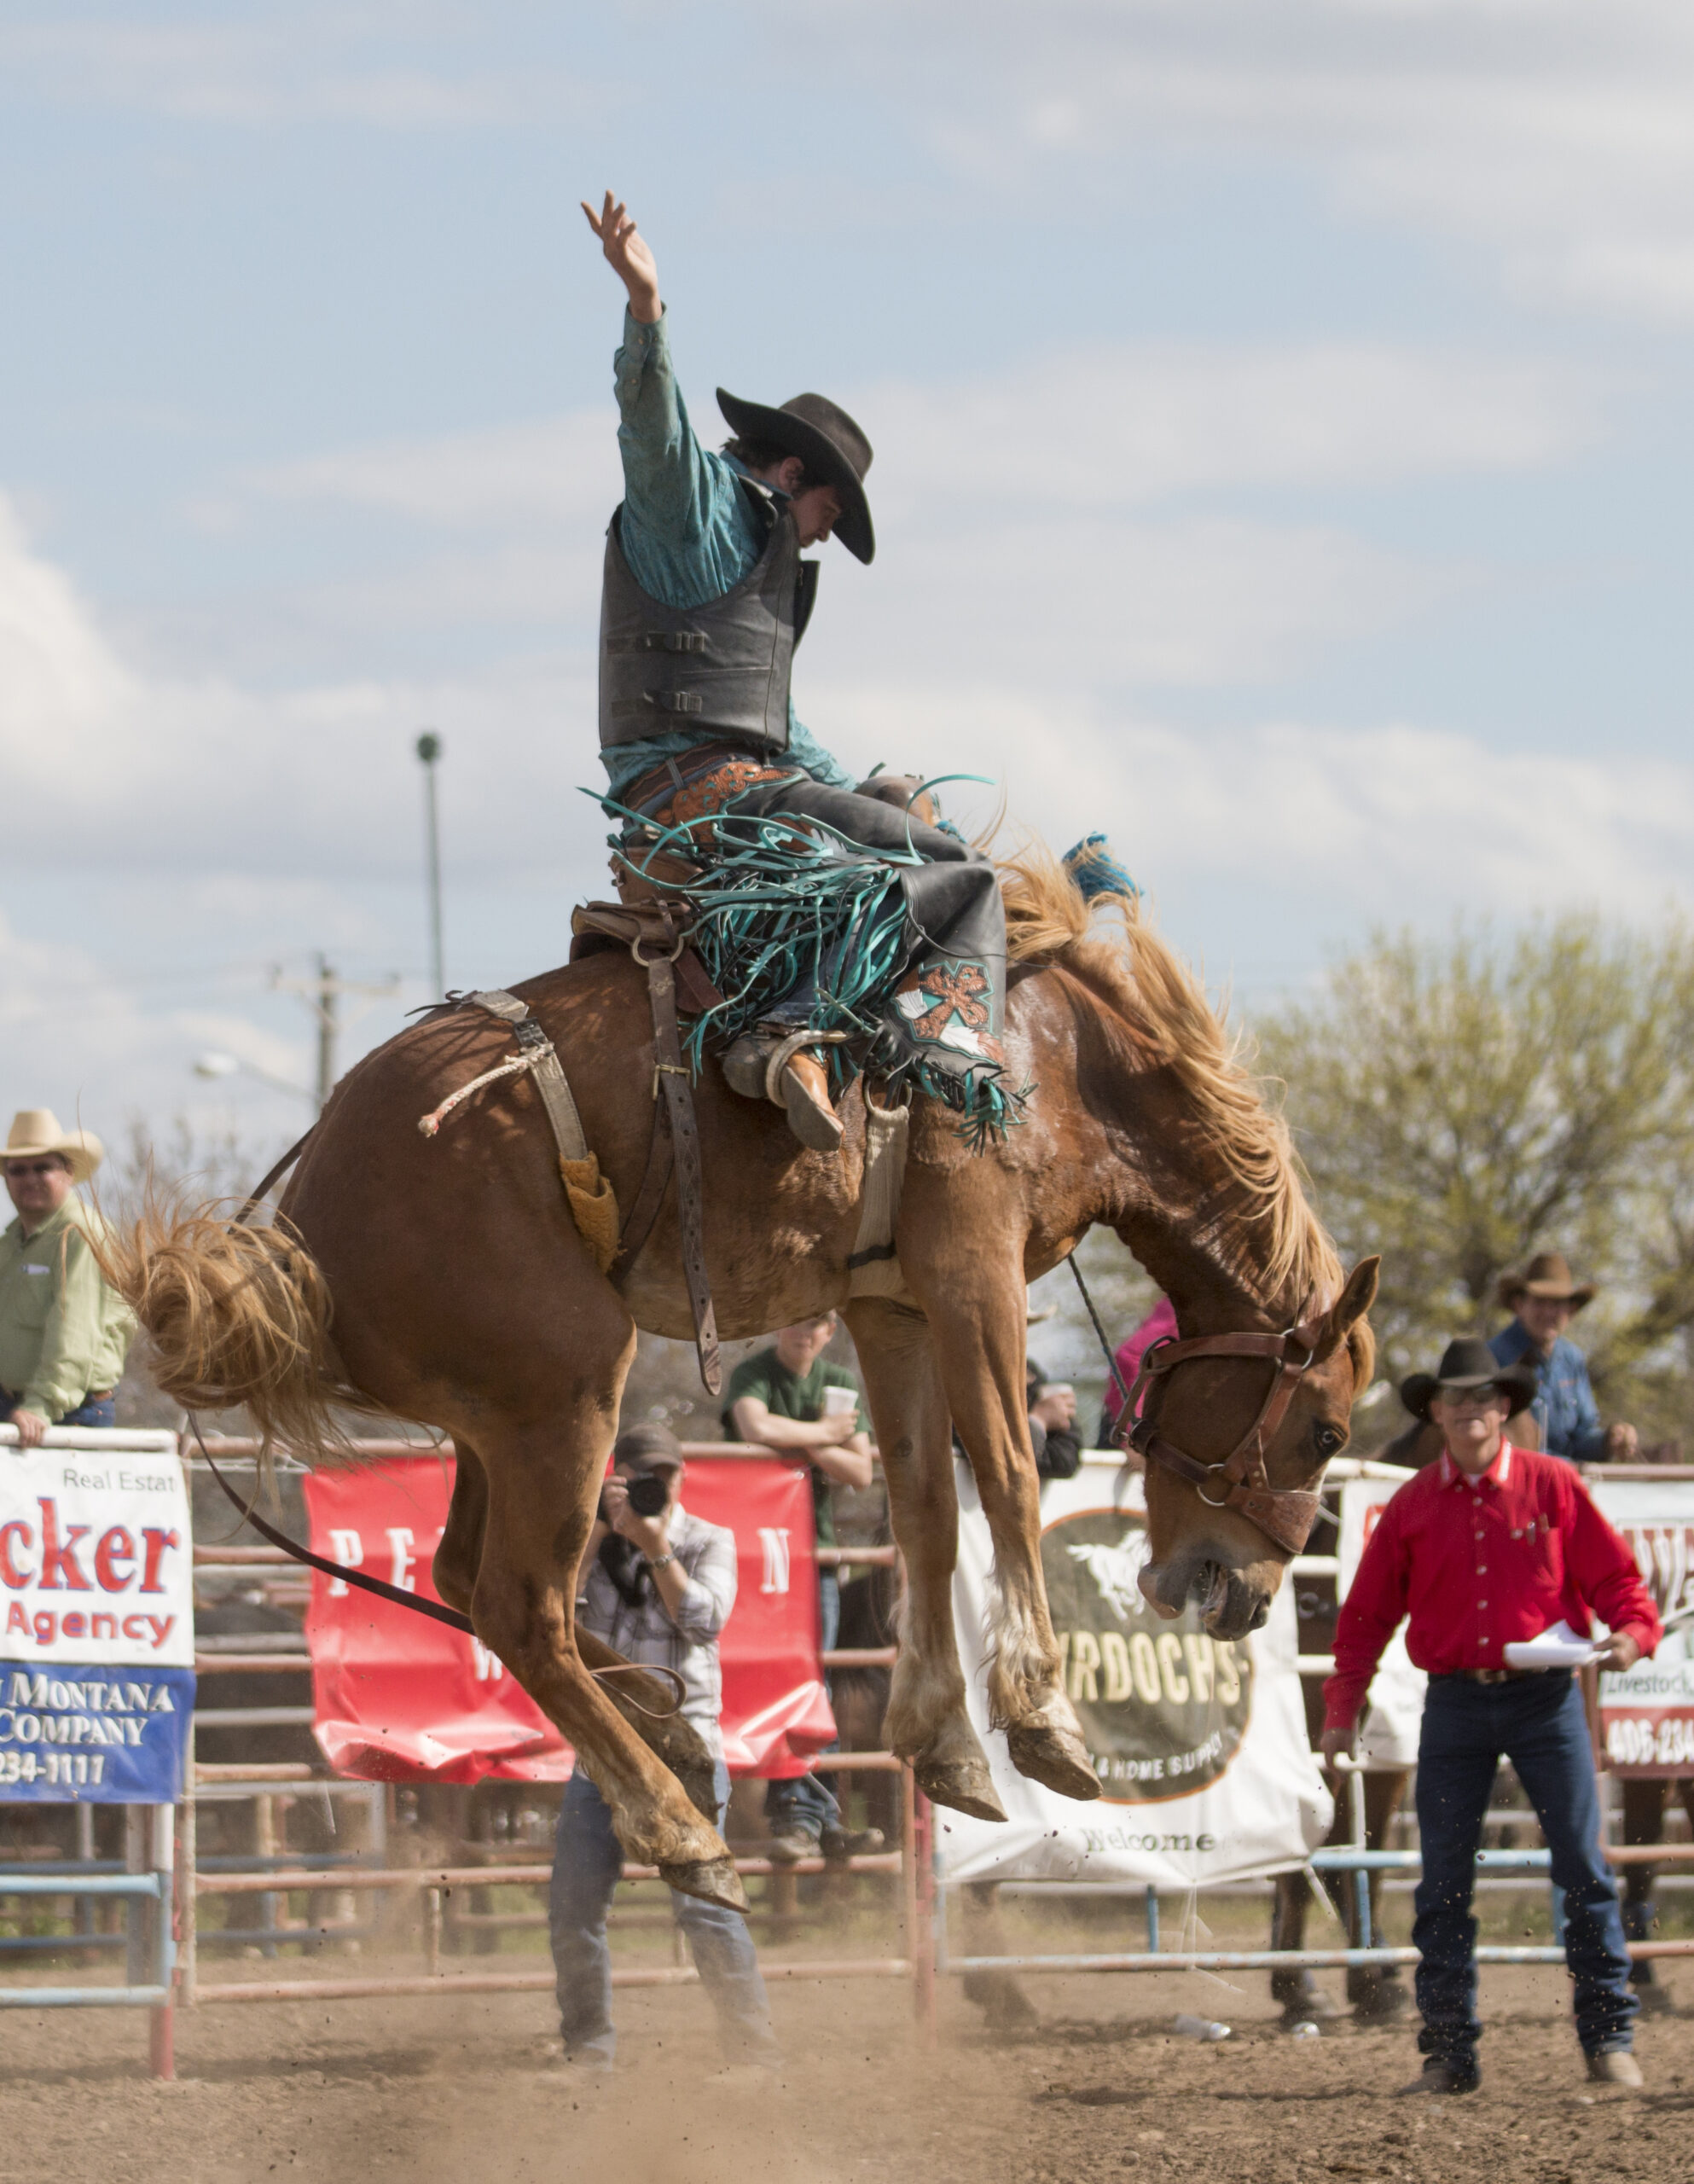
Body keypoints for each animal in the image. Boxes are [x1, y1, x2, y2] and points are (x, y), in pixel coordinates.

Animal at [102, 847, 1379, 1913]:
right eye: (1323, 1433)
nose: (1249, 1595)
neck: (1062, 1060)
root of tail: (301, 1224)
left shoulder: (890, 1301)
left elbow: (925, 1508)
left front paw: (946, 1743)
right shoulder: (971, 1266)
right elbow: (1007, 1475)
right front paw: (1044, 1721)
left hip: (494, 1415)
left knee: (468, 1574)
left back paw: (665, 1716)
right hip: (569, 1378)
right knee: (518, 1601)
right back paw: (681, 1830)